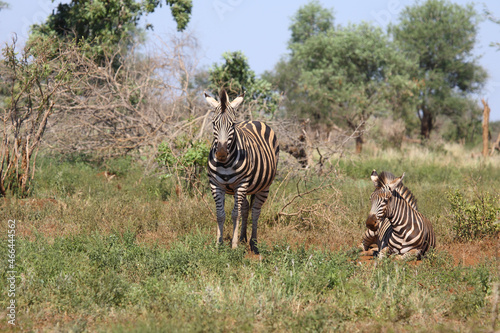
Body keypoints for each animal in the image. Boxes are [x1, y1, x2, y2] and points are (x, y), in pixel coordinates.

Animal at [204, 89, 282, 253]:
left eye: (232, 124)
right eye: (214, 123)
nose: (221, 153)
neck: (225, 163)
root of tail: (254, 121)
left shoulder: (241, 184)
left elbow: (235, 214)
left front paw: (233, 246)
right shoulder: (215, 185)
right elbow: (220, 214)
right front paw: (219, 244)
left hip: (264, 186)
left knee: (256, 212)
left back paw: (253, 243)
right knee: (246, 208)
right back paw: (242, 238)